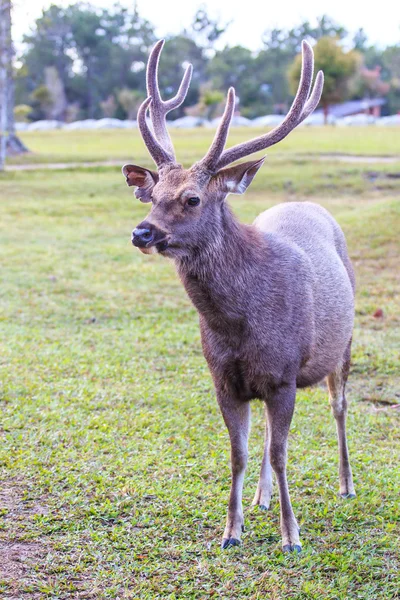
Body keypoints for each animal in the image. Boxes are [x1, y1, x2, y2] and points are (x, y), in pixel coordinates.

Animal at [122, 39, 356, 552]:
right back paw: (261, 499)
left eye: (192, 199)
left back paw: (347, 484)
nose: (141, 232)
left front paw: (291, 535)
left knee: (339, 407)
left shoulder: (285, 374)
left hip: (345, 343)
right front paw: (231, 530)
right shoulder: (224, 379)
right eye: (152, 195)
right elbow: (240, 452)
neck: (239, 325)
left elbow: (282, 452)